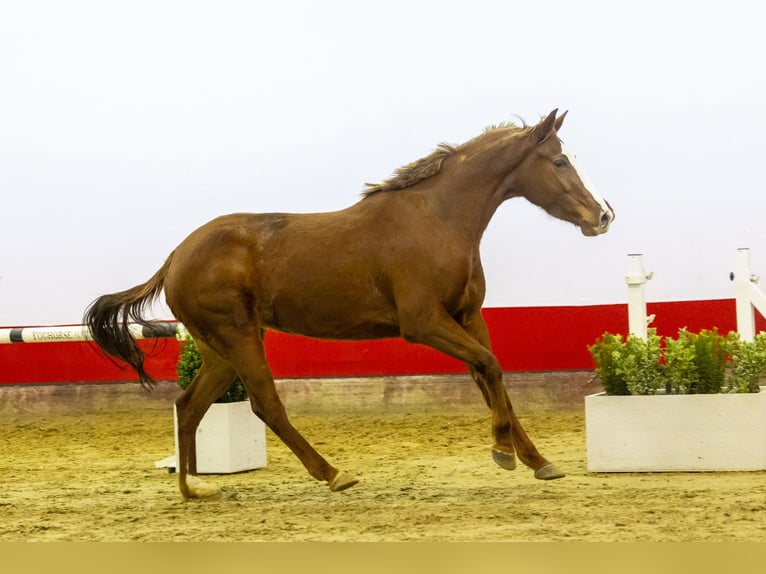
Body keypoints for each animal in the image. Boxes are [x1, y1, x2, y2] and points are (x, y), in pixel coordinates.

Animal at [84, 110, 616, 502]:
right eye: (559, 162)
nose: (603, 216)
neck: (437, 220)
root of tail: (175, 257)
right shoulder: (424, 322)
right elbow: (490, 367)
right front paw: (503, 452)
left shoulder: (467, 317)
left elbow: (493, 376)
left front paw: (537, 461)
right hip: (237, 337)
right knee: (264, 404)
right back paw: (334, 473)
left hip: (222, 348)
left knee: (189, 405)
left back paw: (192, 488)